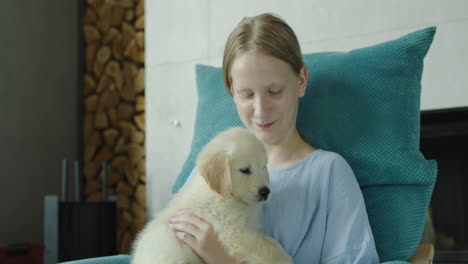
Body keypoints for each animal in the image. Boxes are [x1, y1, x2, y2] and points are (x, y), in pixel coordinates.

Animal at [132, 127, 292, 262]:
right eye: (245, 170)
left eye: (263, 167)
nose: (265, 192)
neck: (225, 195)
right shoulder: (235, 231)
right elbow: (266, 249)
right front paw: (285, 259)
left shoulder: (251, 227)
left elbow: (270, 242)